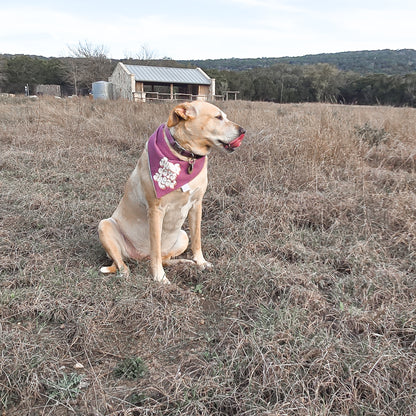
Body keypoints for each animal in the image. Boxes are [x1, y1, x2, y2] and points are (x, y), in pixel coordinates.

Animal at [98, 100, 245, 282]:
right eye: (218, 117)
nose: (243, 131)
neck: (186, 157)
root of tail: (140, 257)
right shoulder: (156, 210)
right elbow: (155, 248)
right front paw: (159, 277)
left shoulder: (197, 205)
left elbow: (197, 239)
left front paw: (201, 262)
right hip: (105, 226)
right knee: (124, 261)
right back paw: (126, 273)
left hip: (182, 236)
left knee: (166, 258)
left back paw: (185, 262)